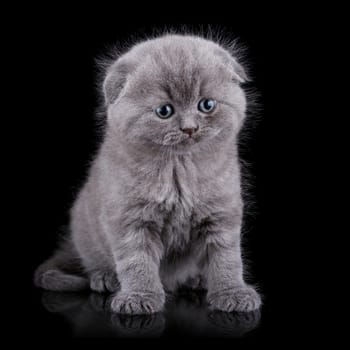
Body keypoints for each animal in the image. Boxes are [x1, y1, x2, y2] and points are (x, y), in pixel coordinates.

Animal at [34, 33, 262, 314]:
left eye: (206, 105)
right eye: (164, 111)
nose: (190, 128)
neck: (179, 172)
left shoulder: (221, 213)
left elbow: (227, 257)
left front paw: (233, 292)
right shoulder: (129, 218)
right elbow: (136, 261)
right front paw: (139, 297)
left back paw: (197, 280)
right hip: (86, 233)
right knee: (96, 261)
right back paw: (105, 279)